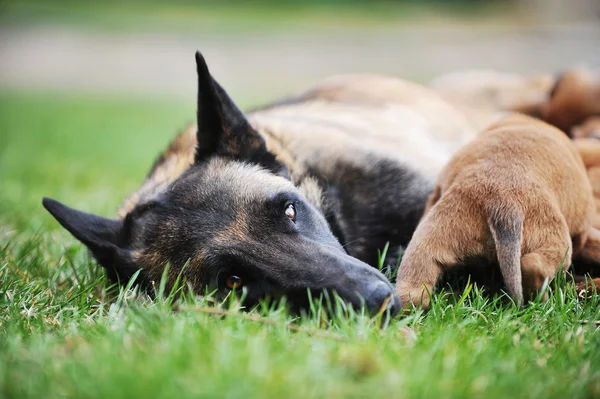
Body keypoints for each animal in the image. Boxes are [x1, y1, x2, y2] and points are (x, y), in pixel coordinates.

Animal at [394, 113, 600, 310]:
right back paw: (537, 300)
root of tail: (502, 200)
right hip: (556, 243)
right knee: (534, 265)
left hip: (433, 234)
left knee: (415, 289)